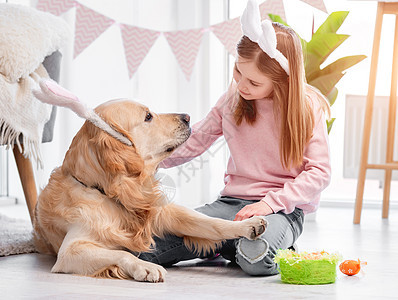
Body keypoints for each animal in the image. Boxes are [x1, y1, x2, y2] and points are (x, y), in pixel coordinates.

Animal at [32, 99, 266, 284]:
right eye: (148, 117)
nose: (187, 117)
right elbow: (121, 253)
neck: (111, 193)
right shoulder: (70, 250)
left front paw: (247, 224)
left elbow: (212, 223)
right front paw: (145, 267)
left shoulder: (163, 212)